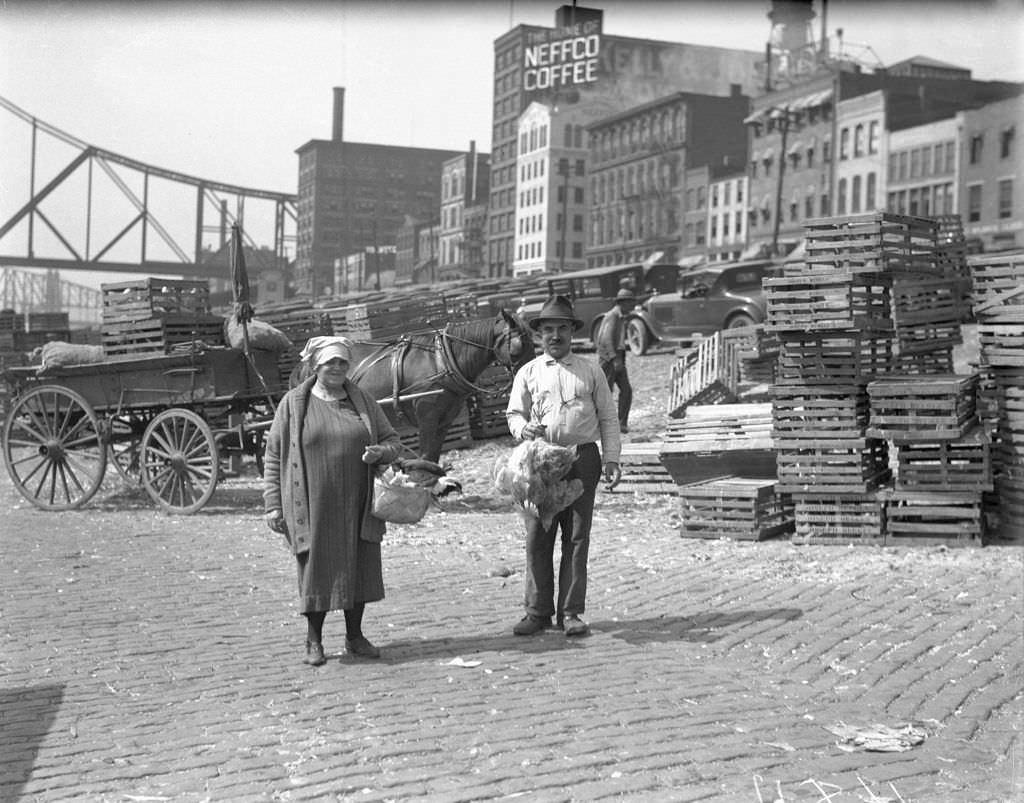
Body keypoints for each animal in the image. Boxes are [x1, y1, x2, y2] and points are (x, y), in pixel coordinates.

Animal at [286, 311, 532, 460]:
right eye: (516, 348)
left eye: (533, 342)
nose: (526, 378)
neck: (442, 360)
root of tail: (303, 365)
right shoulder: (427, 417)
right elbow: (425, 454)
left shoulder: (445, 420)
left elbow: (433, 455)